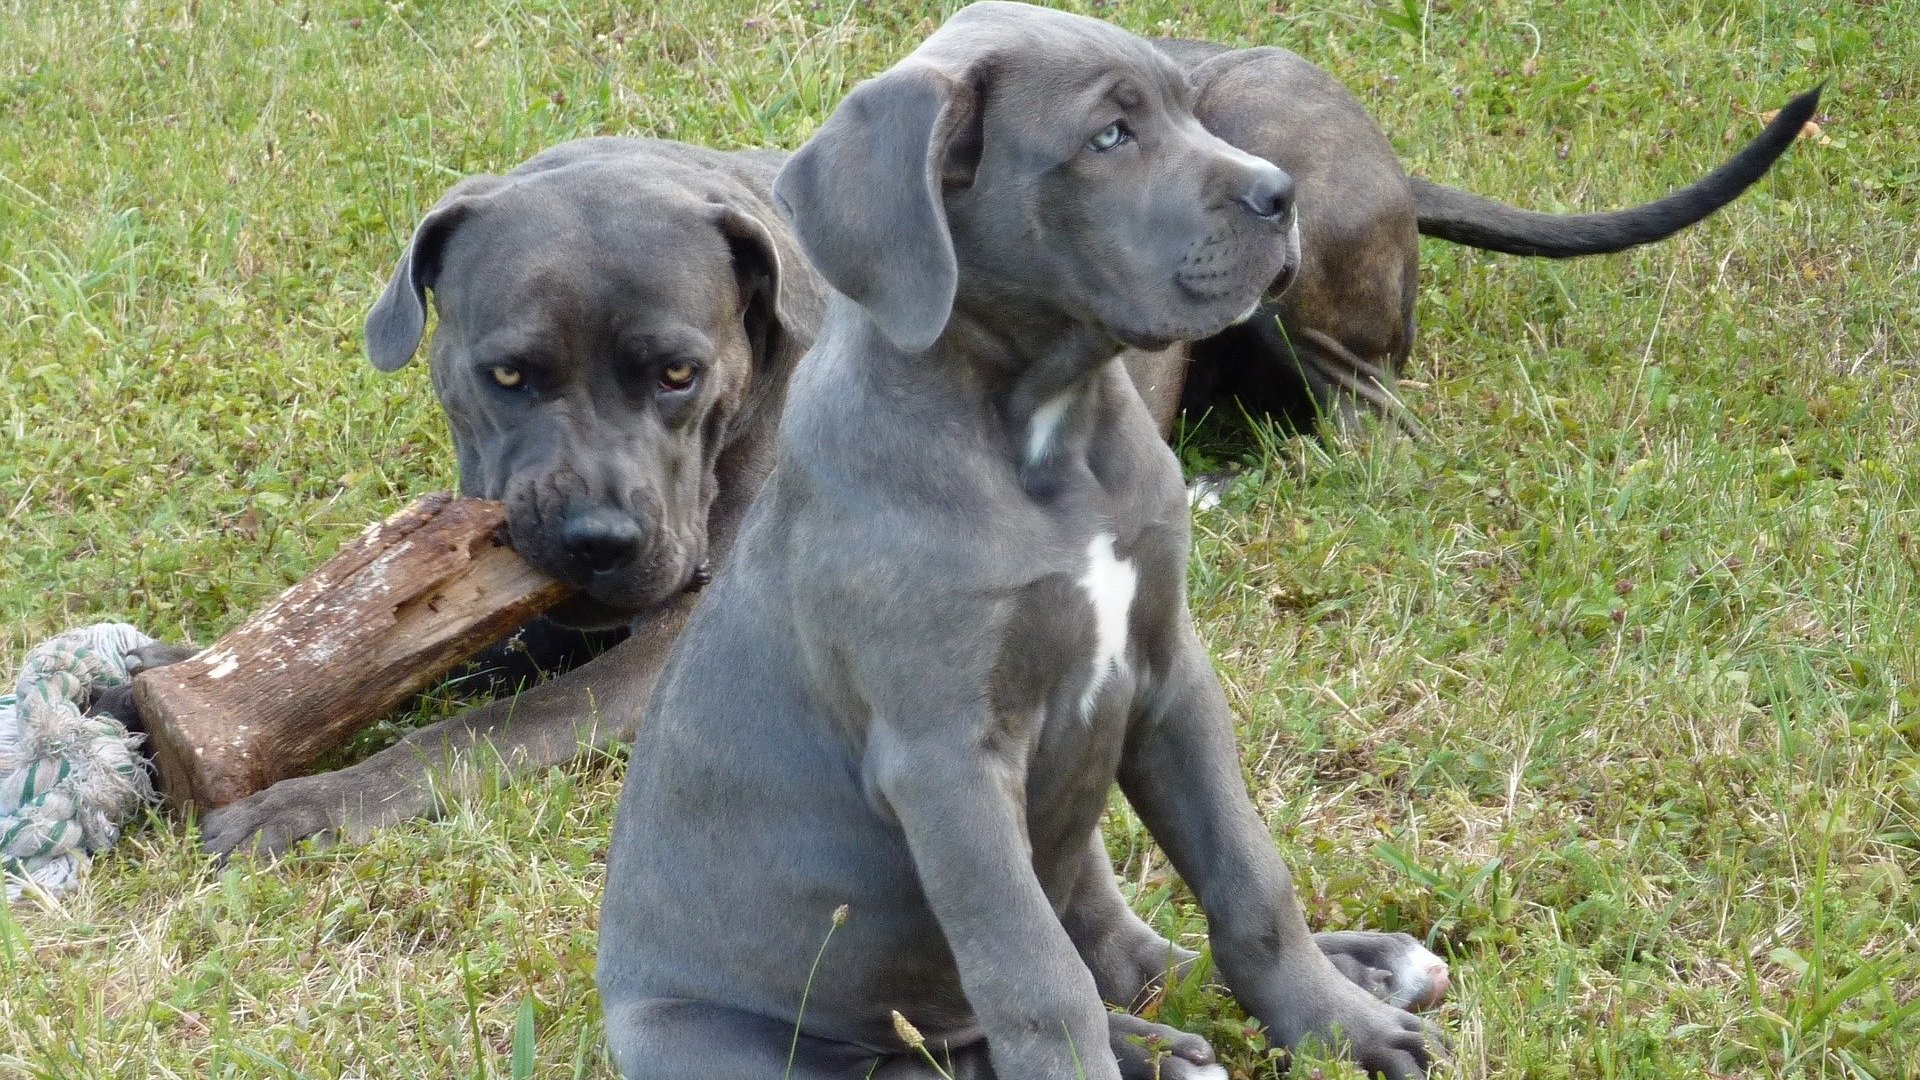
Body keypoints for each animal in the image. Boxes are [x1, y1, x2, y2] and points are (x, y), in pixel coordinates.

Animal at [599, 4, 1443, 1068]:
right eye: (1109, 136)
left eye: (1187, 105)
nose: (1281, 192)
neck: (1050, 431)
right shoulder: (947, 760)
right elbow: (1035, 979)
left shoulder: (1169, 675)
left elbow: (1250, 879)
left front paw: (1338, 1025)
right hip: (721, 1040)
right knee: (952, 1045)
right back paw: (1157, 1051)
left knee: (1115, 953)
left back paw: (1356, 973)